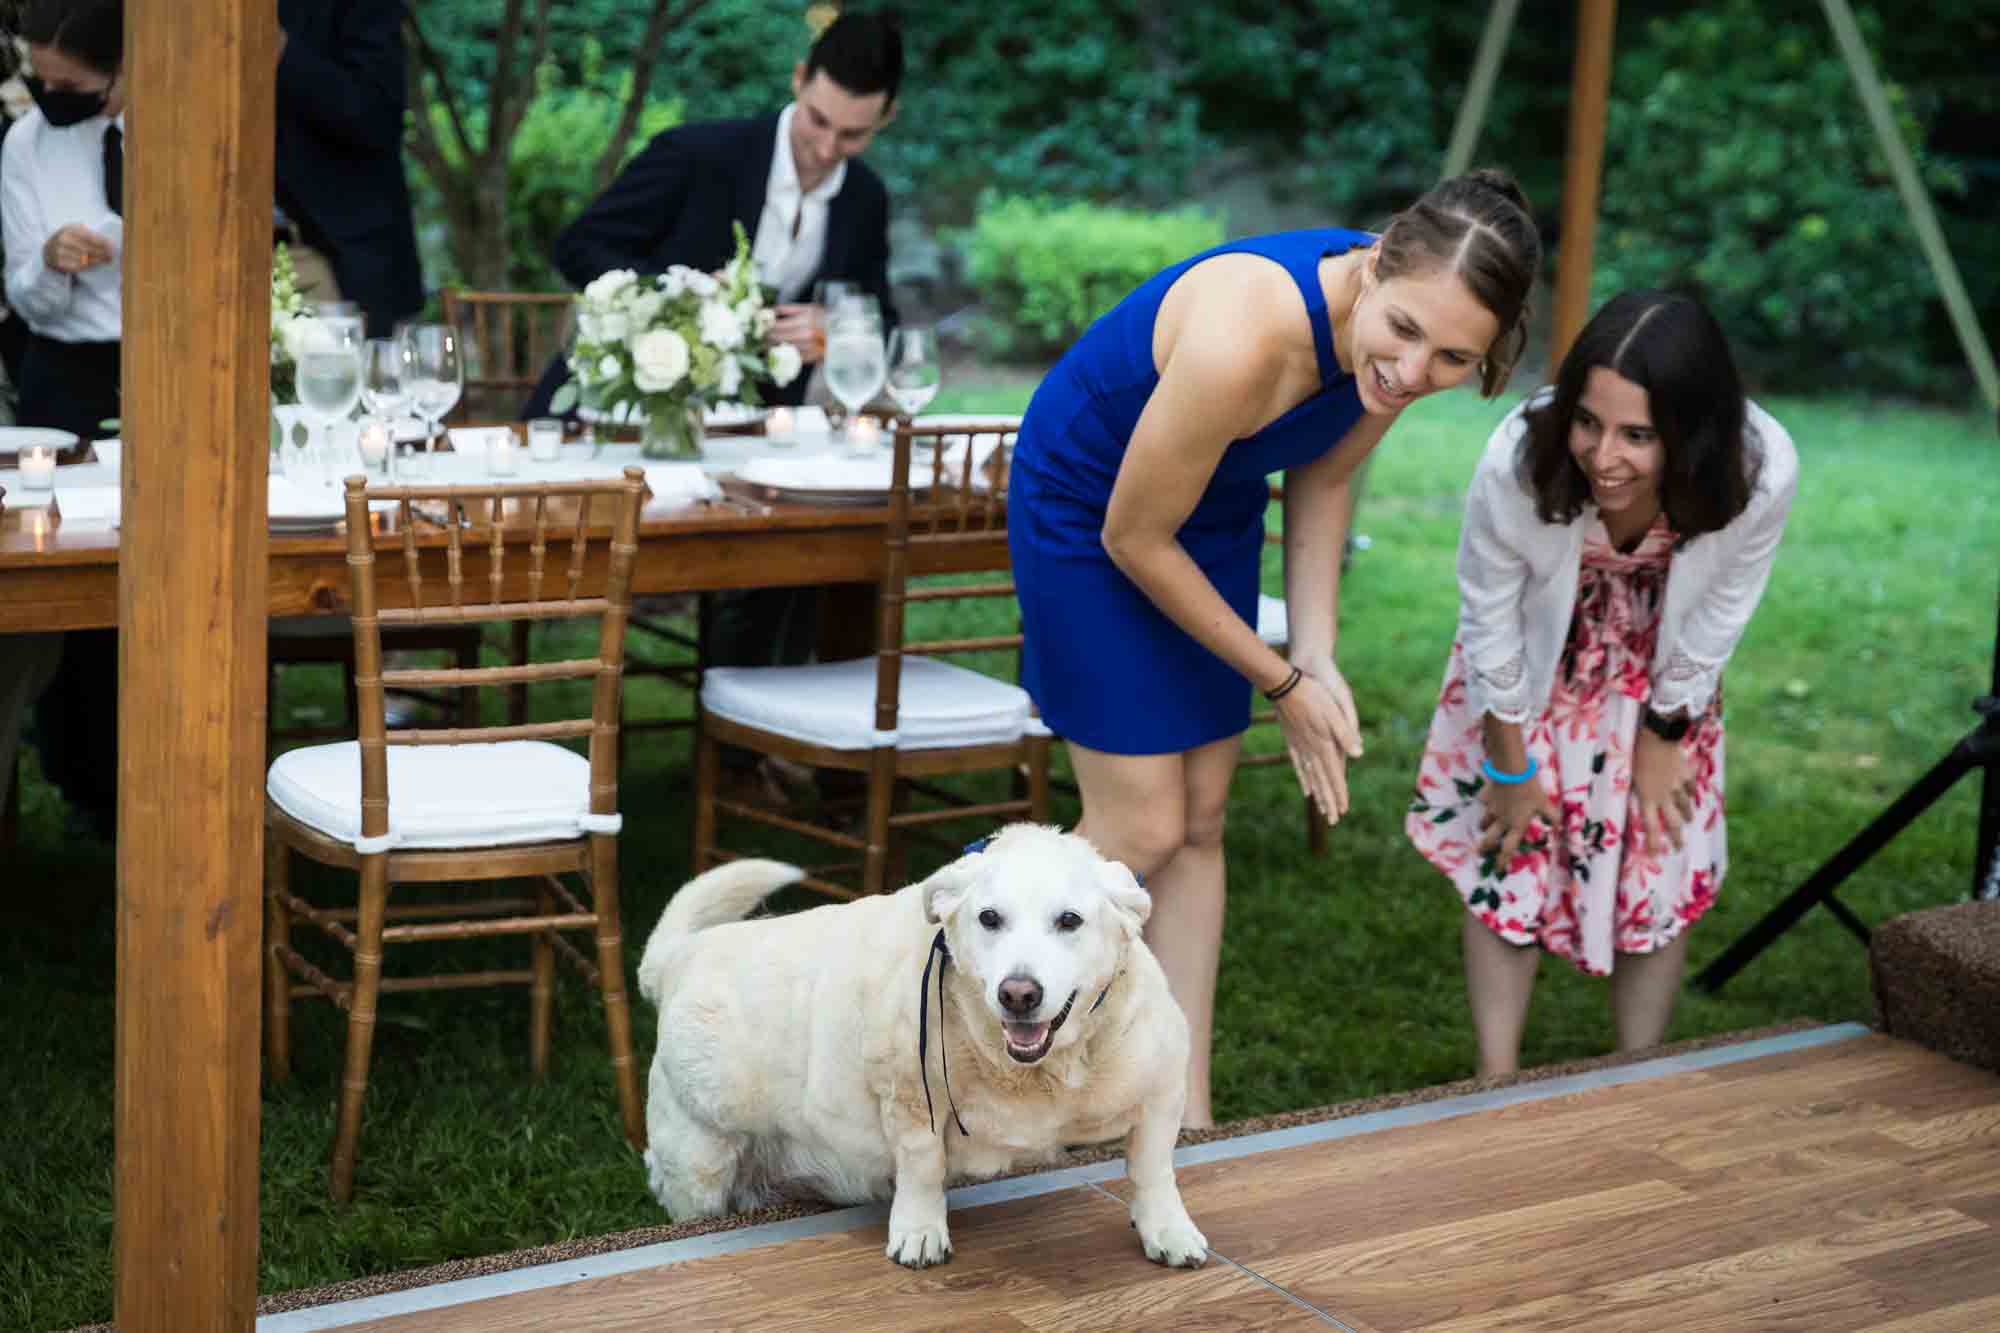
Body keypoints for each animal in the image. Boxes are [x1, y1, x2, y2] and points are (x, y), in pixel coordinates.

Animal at [636, 820, 1200, 1264]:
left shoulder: (1163, 1093)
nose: (1018, 993)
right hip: (699, 1169)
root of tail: (680, 955)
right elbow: (923, 1168)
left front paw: (1168, 1230)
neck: (1030, 1073)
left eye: (1069, 921)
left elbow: (1153, 1169)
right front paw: (920, 1231)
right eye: (989, 918)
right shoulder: (910, 1100)